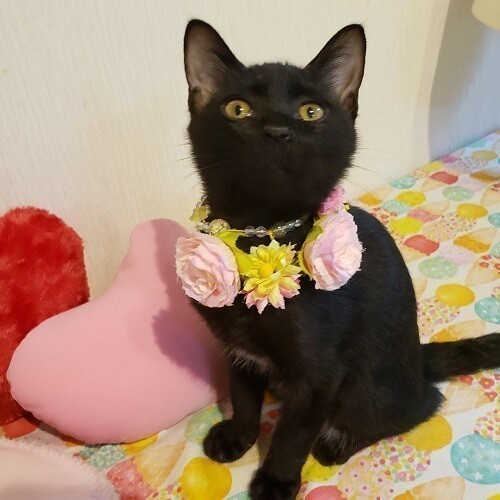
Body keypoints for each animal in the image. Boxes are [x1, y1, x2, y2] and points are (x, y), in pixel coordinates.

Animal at [182, 19, 500, 500]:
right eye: (238, 109)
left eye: (312, 112)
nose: (278, 130)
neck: (260, 239)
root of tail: (417, 361)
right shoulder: (237, 348)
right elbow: (243, 394)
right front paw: (238, 436)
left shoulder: (321, 374)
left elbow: (294, 432)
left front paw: (275, 480)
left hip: (370, 388)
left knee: (416, 408)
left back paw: (338, 441)